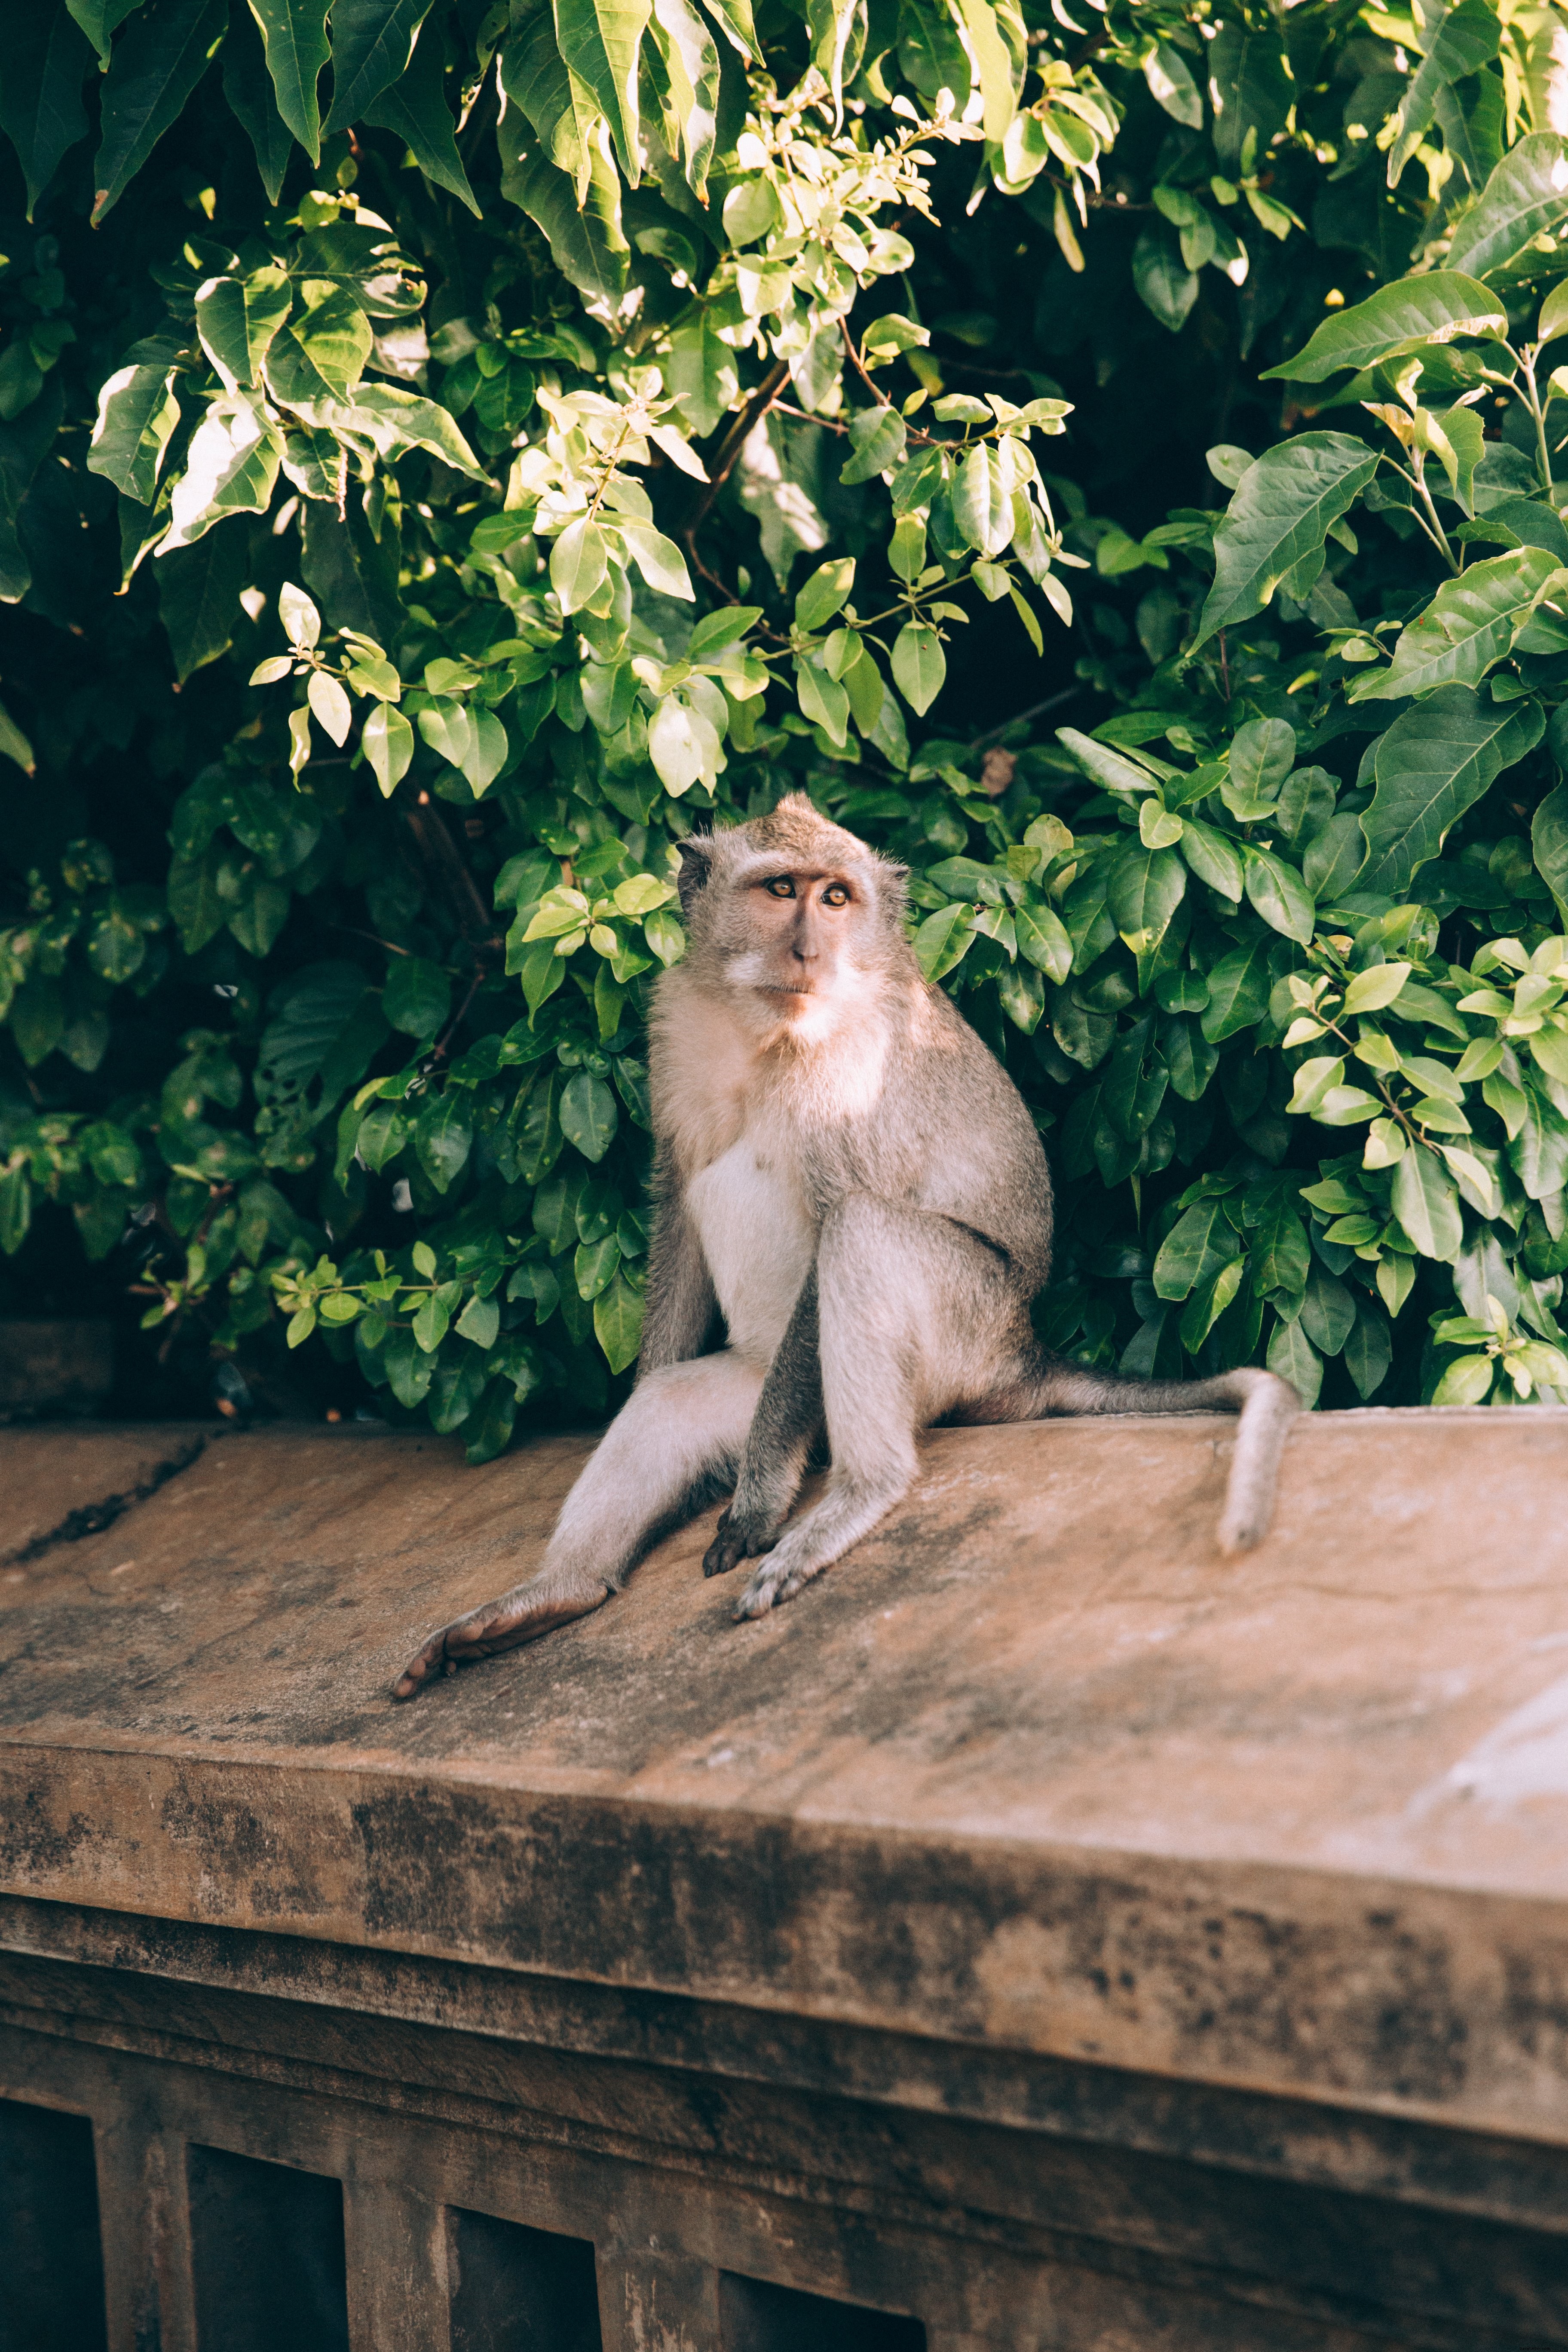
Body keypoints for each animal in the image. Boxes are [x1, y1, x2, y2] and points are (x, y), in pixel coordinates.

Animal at [392, 799, 1298, 1703]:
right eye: (780, 889)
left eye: (835, 898)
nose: (808, 950)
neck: (763, 1032)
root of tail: (1024, 1354)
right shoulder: (674, 1024)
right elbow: (676, 1199)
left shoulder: (850, 1074)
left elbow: (839, 1213)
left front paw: (757, 1506)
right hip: (773, 1389)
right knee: (673, 1404)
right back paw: (559, 1591)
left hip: (962, 1332)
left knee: (864, 1230)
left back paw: (860, 1492)